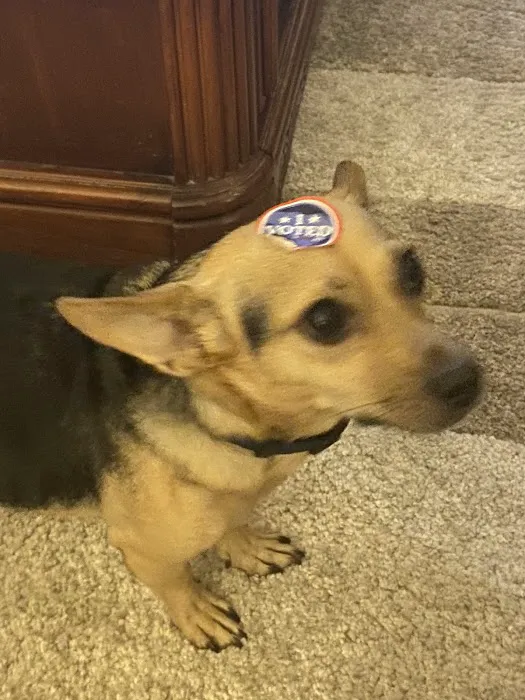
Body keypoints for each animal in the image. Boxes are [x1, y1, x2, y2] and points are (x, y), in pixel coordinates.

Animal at [0, 161, 482, 651]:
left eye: (413, 270)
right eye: (323, 320)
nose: (468, 381)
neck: (236, 428)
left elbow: (232, 520)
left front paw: (244, 545)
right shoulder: (143, 550)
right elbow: (175, 581)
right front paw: (195, 610)